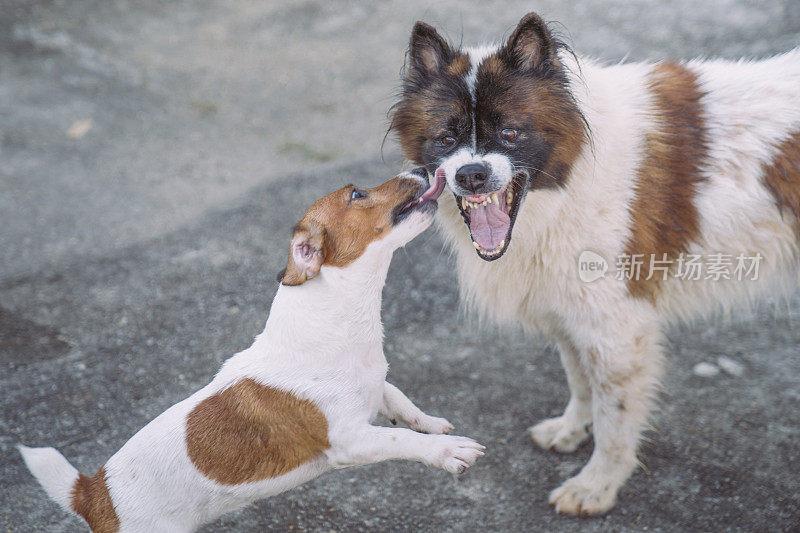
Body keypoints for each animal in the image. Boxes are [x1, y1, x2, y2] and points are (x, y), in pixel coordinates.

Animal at [20, 168, 482, 528]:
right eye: (356, 194)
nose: (423, 167)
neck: (341, 326)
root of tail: (93, 492)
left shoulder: (376, 387)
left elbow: (401, 401)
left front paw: (432, 423)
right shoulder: (350, 441)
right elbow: (401, 439)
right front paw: (447, 451)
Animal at [392, 9, 800, 516]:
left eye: (510, 133)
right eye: (445, 138)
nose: (472, 175)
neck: (573, 173)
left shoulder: (617, 327)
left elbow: (614, 417)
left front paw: (597, 485)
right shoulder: (572, 308)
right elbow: (580, 380)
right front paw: (571, 431)